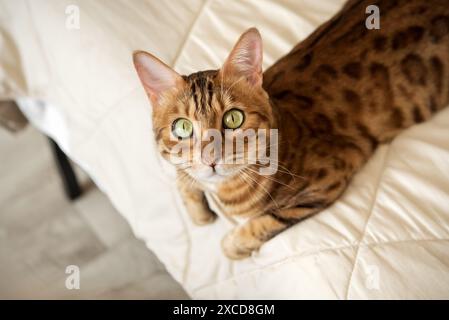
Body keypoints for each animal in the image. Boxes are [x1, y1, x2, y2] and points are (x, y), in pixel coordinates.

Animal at [133, 0, 448, 258]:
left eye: (233, 119)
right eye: (183, 127)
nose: (210, 158)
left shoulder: (332, 175)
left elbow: (267, 221)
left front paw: (234, 244)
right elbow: (182, 176)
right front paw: (198, 210)